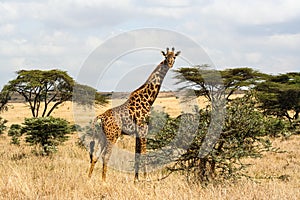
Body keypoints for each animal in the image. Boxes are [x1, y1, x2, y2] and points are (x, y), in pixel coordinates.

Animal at [86, 47, 180, 182]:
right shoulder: (143, 129)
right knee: (105, 156)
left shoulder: (137, 133)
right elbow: (144, 154)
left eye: (174, 56)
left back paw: (89, 179)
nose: (170, 63)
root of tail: (101, 117)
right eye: (166, 56)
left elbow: (137, 155)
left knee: (95, 156)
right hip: (112, 135)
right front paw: (146, 178)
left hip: (102, 135)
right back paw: (104, 181)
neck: (148, 99)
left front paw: (136, 180)